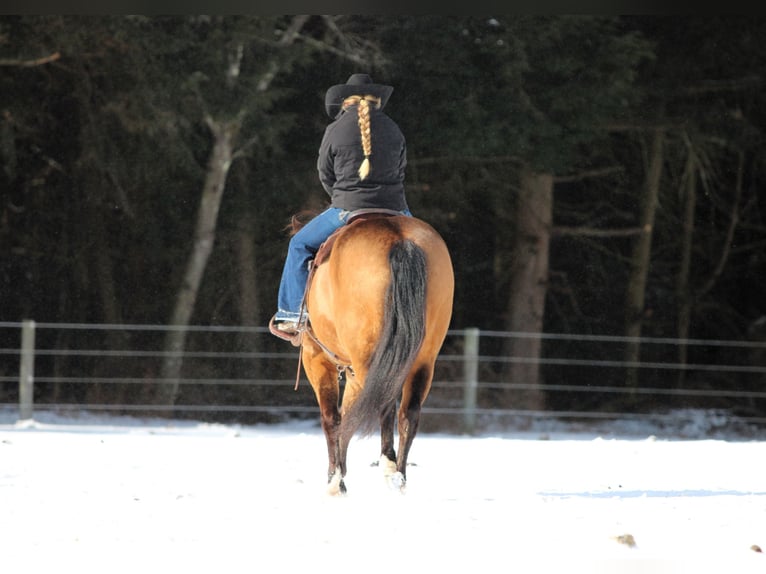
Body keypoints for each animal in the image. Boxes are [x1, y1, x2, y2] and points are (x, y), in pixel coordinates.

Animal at [300, 212, 456, 496]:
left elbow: (332, 417)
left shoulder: (316, 358)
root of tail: (400, 240)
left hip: (366, 360)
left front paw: (335, 479)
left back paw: (386, 466)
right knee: (408, 413)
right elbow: (348, 414)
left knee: (382, 404)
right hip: (423, 360)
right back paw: (399, 477)